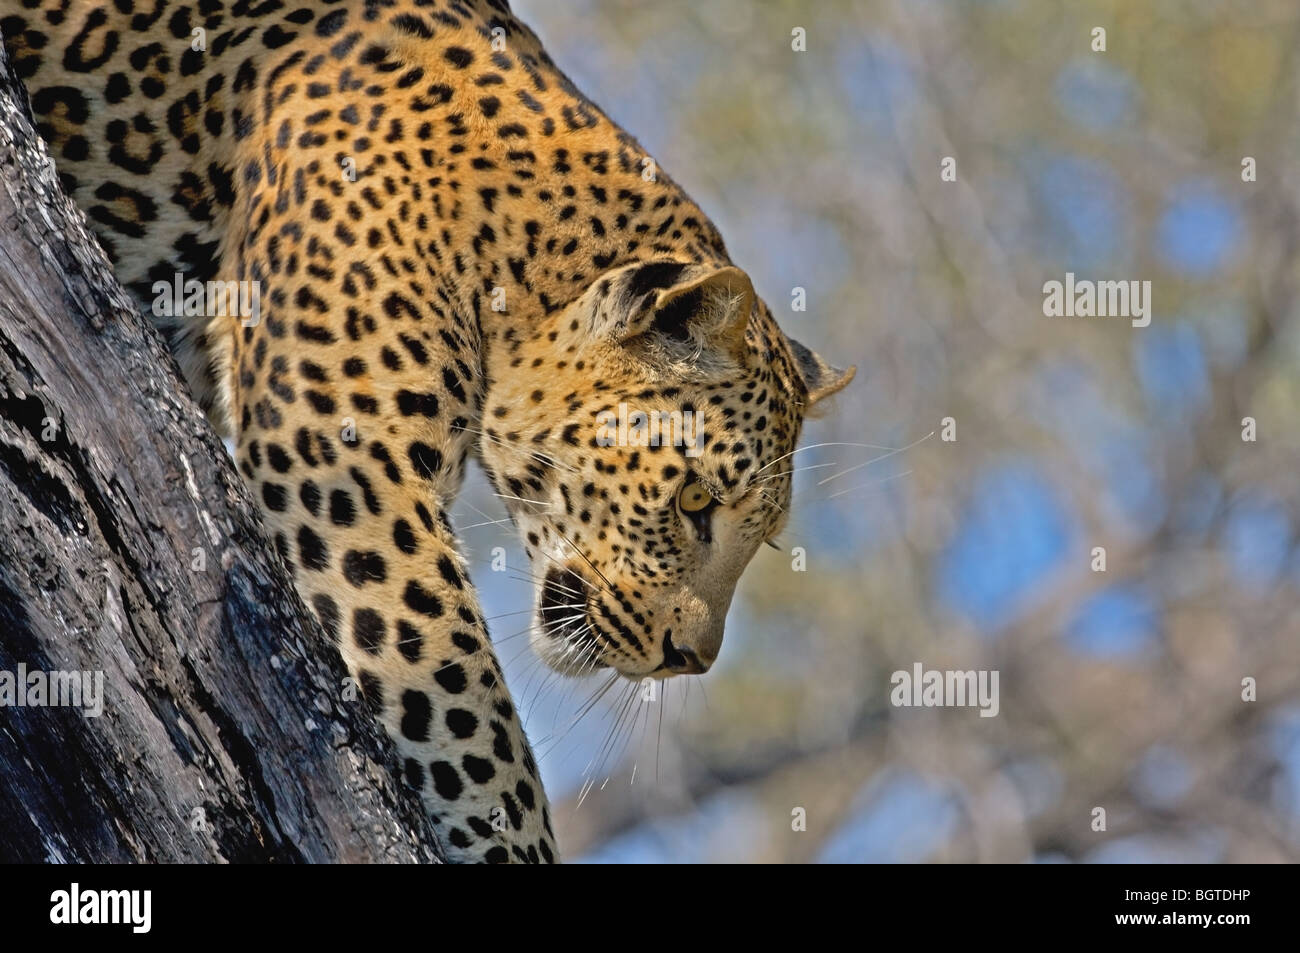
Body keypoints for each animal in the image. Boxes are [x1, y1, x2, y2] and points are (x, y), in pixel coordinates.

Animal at [0, 0, 854, 863]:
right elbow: (467, 708)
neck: (515, 247)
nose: (691, 661)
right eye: (694, 500)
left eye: (762, 537)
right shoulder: (350, 462)